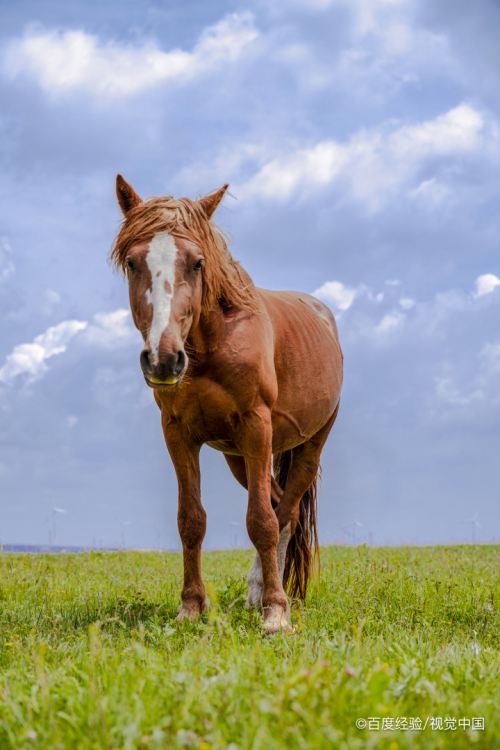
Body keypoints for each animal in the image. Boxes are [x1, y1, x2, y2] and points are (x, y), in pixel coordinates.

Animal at [111, 176, 342, 636]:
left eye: (198, 262)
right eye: (132, 262)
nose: (163, 359)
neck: (211, 343)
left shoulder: (256, 426)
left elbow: (262, 522)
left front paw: (276, 613)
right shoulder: (177, 432)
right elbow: (191, 520)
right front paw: (191, 607)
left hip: (306, 445)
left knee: (284, 511)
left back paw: (269, 595)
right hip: (239, 457)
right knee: (275, 500)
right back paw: (256, 590)